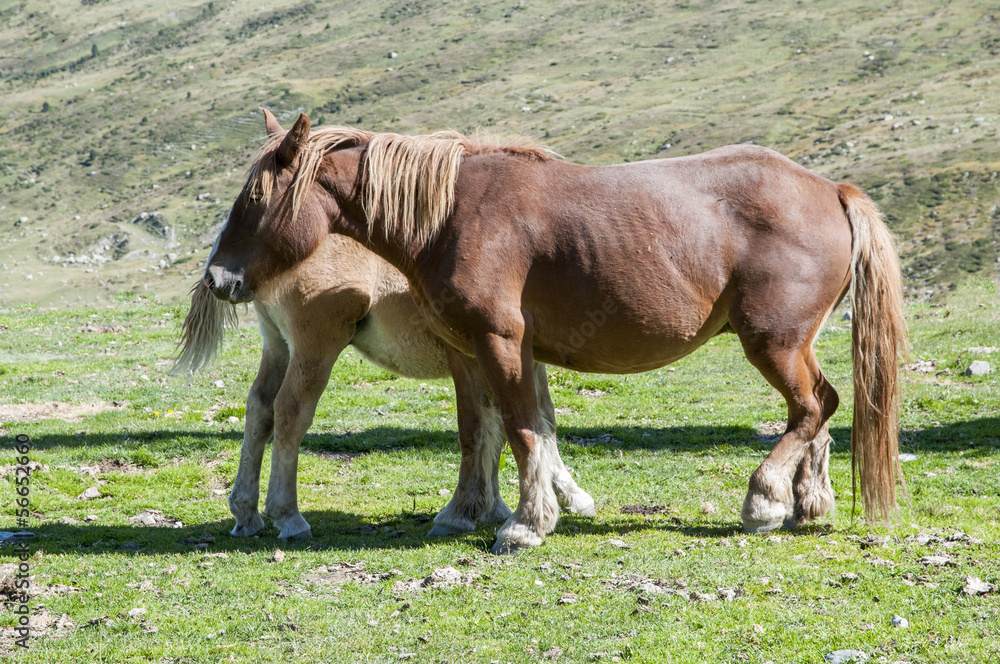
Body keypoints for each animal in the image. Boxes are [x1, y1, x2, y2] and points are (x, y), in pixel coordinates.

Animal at [178, 231, 595, 540]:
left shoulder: (514, 361)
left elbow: (529, 422)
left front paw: (499, 505)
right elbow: (507, 425)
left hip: (278, 346)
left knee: (260, 409)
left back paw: (246, 514)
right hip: (315, 348)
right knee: (290, 413)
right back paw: (289, 518)